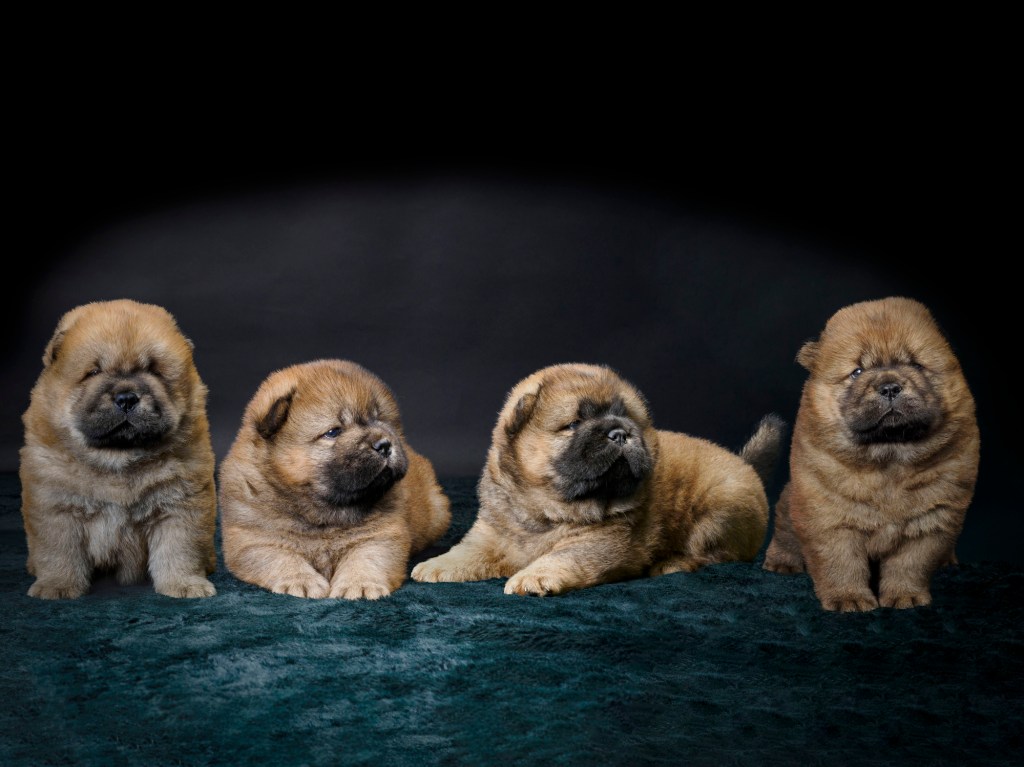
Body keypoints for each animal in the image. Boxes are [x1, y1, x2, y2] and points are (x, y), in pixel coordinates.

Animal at [18, 299, 218, 598]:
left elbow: (180, 548)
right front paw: (57, 586)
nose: (126, 398)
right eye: (94, 372)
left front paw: (185, 584)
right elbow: (59, 551)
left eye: (154, 371)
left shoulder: (180, 504)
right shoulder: (56, 506)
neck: (117, 458)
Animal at [218, 358, 450, 598]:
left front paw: (360, 585)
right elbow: (282, 557)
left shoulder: (383, 534)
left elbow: (365, 558)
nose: (385, 444)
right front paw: (301, 581)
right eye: (333, 432)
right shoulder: (252, 539)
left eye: (380, 420)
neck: (322, 510)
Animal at [407, 362, 782, 593]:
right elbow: (466, 551)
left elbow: (562, 557)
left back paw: (671, 564)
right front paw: (435, 565)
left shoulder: (603, 540)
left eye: (627, 417)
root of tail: (744, 464)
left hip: (718, 512)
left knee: (713, 553)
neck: (544, 510)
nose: (620, 432)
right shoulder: (490, 533)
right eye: (574, 423)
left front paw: (533, 577)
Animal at [765, 294, 978, 610]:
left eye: (915, 365)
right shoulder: (829, 517)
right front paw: (849, 599)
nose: (889, 386)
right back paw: (782, 562)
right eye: (857, 372)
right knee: (784, 529)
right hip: (791, 503)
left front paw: (905, 596)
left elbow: (910, 563)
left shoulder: (930, 519)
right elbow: (841, 563)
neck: (888, 458)